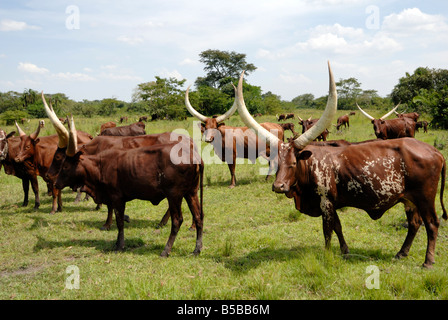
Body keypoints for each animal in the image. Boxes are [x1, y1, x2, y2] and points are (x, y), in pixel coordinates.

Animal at [54, 116, 205, 256]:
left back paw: (166, 249)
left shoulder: (117, 198)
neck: (100, 165)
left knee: (177, 220)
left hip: (174, 195)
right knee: (198, 217)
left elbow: (119, 221)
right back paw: (196, 249)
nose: (56, 183)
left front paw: (119, 244)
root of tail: (192, 154)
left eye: (65, 165)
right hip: (191, 193)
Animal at [236, 62, 446, 268]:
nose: (278, 186)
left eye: (294, 162)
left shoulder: (326, 202)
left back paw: (428, 261)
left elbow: (327, 230)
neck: (311, 165)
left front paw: (327, 254)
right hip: (409, 199)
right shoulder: (332, 204)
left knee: (432, 223)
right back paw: (401, 253)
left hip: (425, 197)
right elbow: (338, 227)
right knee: (415, 223)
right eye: (277, 163)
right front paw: (345, 251)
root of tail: (435, 152)